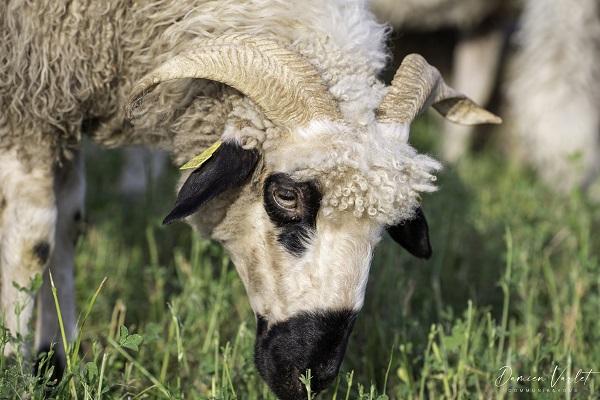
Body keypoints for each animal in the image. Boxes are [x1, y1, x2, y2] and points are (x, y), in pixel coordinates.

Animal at [0, 1, 496, 398]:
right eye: (286, 194)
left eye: (387, 224)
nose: (311, 377)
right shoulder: (27, 101)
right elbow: (33, 244)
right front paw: (14, 368)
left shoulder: (54, 98)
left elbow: (69, 225)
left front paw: (54, 360)